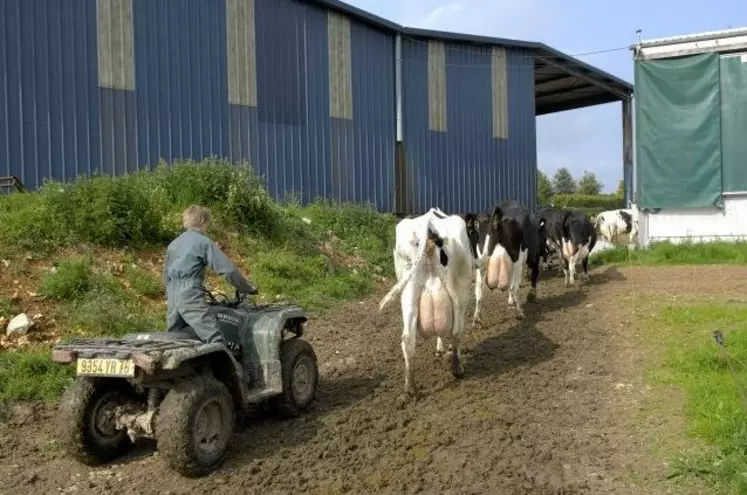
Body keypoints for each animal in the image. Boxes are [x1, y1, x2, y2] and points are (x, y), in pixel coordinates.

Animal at [380, 207, 474, 398]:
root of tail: (428, 222)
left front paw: (439, 349)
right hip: (458, 291)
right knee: (456, 331)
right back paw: (457, 368)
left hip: (408, 292)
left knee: (408, 339)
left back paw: (410, 388)